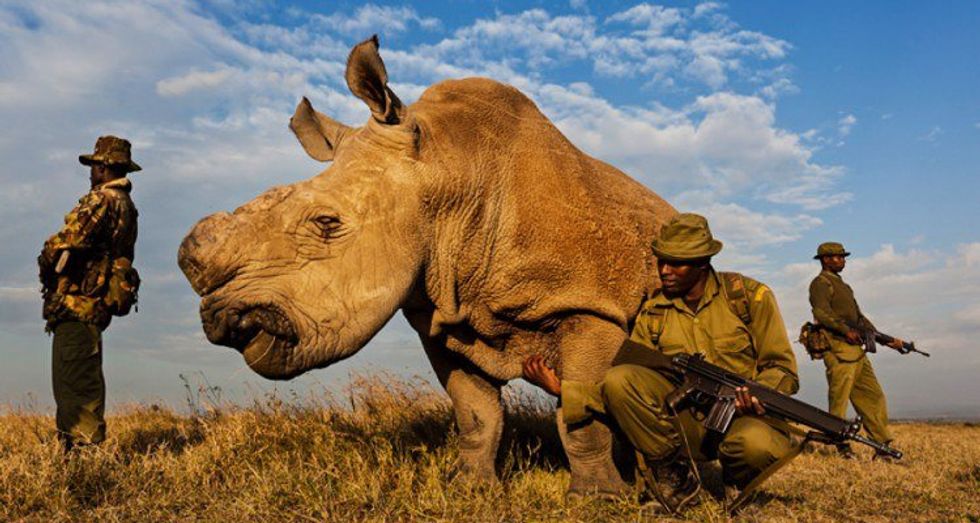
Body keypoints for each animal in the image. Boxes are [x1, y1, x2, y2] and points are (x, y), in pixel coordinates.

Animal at [178, 36, 676, 496]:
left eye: (326, 223)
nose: (223, 319)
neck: (451, 172)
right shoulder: (442, 317)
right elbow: (475, 413)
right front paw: (472, 489)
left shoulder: (590, 306)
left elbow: (580, 415)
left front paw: (599, 497)